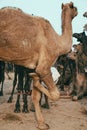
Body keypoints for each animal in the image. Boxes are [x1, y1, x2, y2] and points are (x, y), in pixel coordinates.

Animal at [0, 2, 77, 130]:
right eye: (74, 7)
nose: (78, 12)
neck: (57, 42)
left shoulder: (35, 67)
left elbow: (36, 97)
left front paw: (41, 124)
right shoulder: (44, 68)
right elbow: (54, 94)